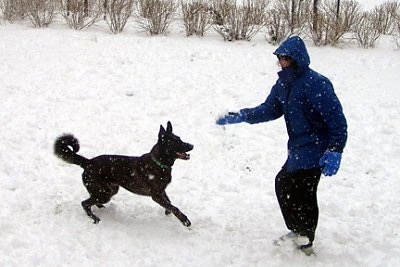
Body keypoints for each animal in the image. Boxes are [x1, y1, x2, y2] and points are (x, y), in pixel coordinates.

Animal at [53, 122, 194, 227]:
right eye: (176, 142)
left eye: (180, 138)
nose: (192, 145)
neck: (159, 163)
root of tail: (88, 162)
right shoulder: (156, 195)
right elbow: (174, 207)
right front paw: (184, 220)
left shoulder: (162, 191)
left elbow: (169, 203)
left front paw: (167, 213)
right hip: (104, 192)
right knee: (84, 203)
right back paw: (95, 218)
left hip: (109, 190)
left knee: (93, 201)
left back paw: (104, 209)